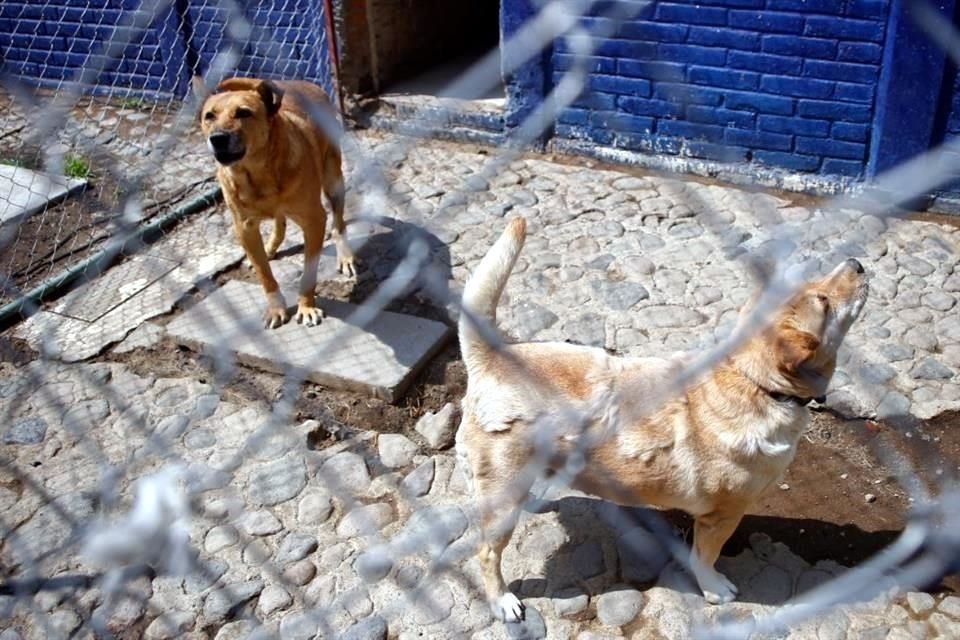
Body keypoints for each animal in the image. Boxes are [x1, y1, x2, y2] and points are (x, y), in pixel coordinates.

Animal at [194, 77, 356, 328]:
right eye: (209, 116)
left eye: (243, 113)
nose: (218, 138)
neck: (257, 175)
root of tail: (302, 82)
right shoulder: (244, 228)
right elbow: (265, 275)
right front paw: (276, 308)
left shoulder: (314, 221)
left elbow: (309, 273)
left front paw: (306, 307)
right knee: (280, 222)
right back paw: (270, 247)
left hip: (333, 181)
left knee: (338, 223)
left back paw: (345, 255)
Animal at [458, 219, 872, 620]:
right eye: (823, 303)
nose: (856, 263)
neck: (753, 381)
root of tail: (492, 357)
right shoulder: (721, 516)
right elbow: (705, 558)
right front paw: (715, 590)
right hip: (501, 502)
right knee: (487, 554)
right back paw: (502, 601)